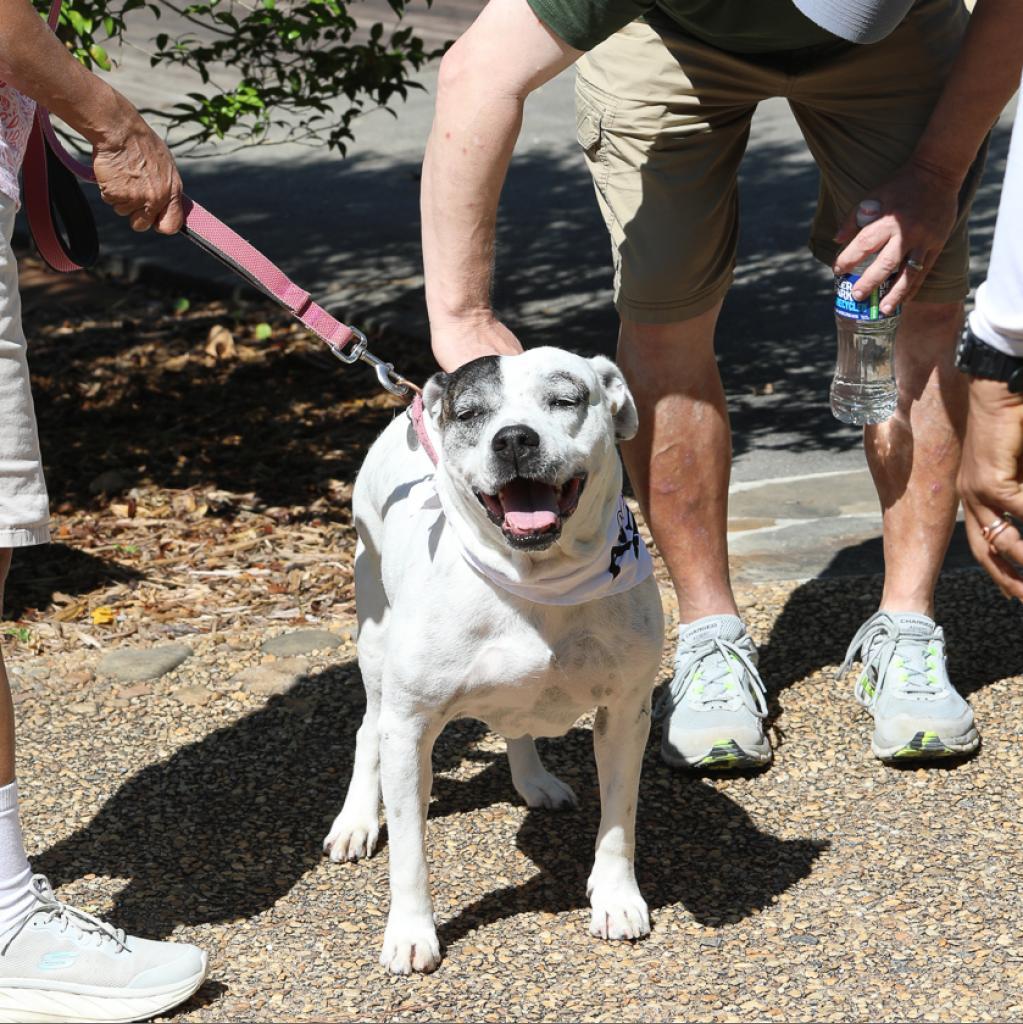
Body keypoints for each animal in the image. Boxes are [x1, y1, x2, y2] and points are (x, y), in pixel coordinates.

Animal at [323, 350, 667, 974]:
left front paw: (615, 898)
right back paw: (357, 821)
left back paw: (533, 781)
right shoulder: (408, 730)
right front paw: (411, 932)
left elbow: (618, 819)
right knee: (367, 729)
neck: (535, 580)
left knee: (517, 723)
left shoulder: (627, 714)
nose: (513, 438)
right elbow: (409, 850)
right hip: (374, 643)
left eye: (565, 399)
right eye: (471, 414)